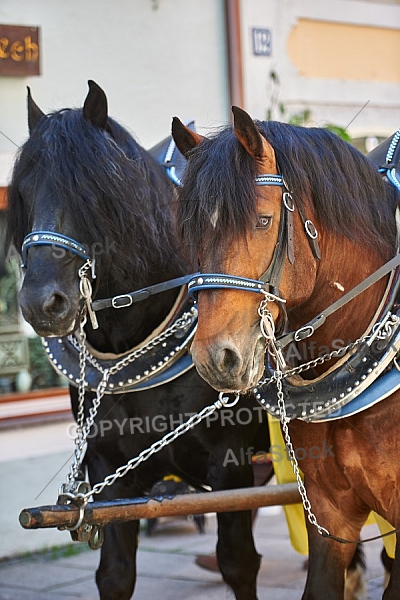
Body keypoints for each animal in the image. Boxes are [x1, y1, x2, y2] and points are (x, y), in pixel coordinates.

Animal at [4, 81, 270, 600]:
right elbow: (115, 573)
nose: (41, 303)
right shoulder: (108, 473)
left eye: (91, 190)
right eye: (20, 193)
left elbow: (239, 563)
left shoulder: (231, 465)